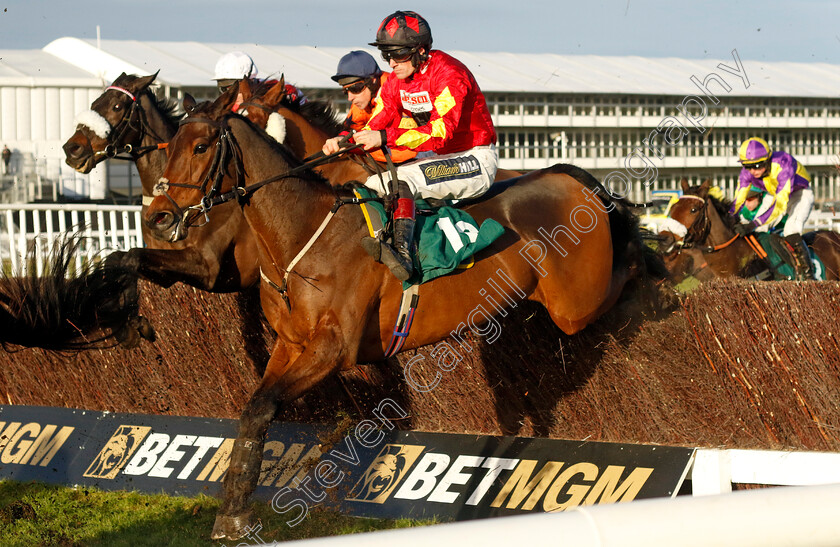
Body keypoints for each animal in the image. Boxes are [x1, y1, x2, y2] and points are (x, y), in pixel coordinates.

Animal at [144, 88, 668, 540]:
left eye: (201, 145)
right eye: (168, 147)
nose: (158, 217)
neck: (303, 234)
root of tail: (566, 175)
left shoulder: (333, 350)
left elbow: (263, 408)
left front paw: (235, 515)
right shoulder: (291, 345)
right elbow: (254, 410)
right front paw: (232, 513)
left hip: (574, 304)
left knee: (629, 268)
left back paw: (659, 281)